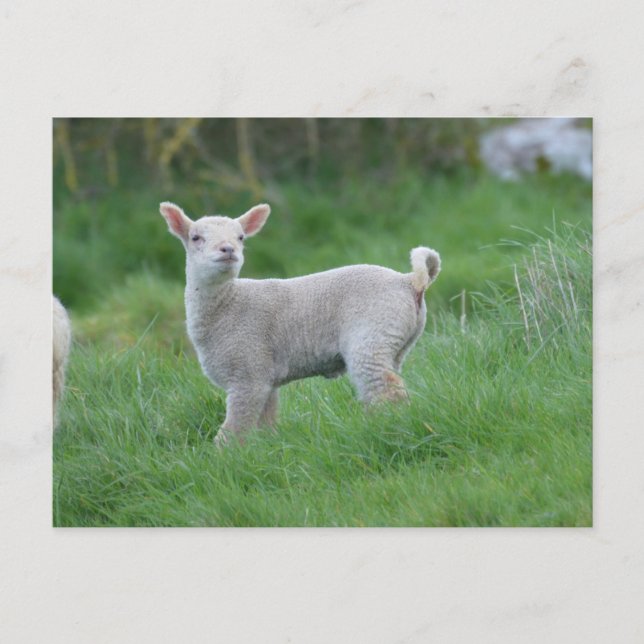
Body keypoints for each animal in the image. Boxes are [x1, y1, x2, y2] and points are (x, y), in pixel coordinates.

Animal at [160, 202, 441, 444]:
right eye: (195, 237)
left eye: (241, 237)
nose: (228, 250)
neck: (228, 303)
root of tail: (410, 281)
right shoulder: (264, 377)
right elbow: (266, 423)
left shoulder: (248, 374)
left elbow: (233, 431)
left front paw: (222, 459)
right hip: (395, 341)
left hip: (372, 334)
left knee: (387, 390)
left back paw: (388, 429)